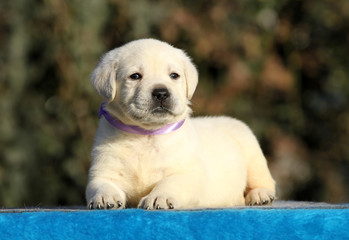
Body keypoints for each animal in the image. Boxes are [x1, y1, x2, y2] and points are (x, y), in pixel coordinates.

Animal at [85, 38, 274, 209]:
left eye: (174, 75)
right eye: (135, 76)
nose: (161, 93)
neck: (146, 135)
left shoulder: (187, 172)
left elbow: (170, 182)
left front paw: (159, 197)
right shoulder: (104, 170)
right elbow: (101, 184)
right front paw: (104, 197)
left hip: (252, 154)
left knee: (266, 181)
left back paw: (260, 195)